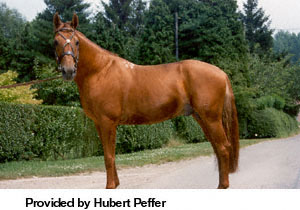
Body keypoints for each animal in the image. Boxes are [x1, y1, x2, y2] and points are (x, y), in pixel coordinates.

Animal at [52, 12, 239, 189]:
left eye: (77, 42)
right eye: (55, 42)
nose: (68, 70)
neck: (100, 71)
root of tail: (221, 73)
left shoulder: (107, 122)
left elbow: (109, 156)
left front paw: (110, 186)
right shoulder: (99, 123)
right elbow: (110, 155)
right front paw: (116, 183)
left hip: (211, 118)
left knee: (223, 147)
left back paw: (223, 185)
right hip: (202, 118)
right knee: (217, 147)